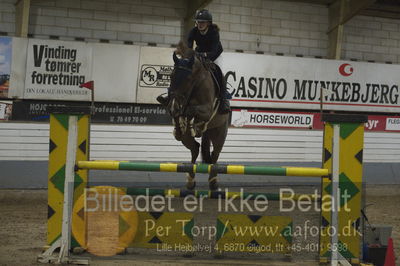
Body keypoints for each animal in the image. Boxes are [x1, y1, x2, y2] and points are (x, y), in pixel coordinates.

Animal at [167, 41, 228, 191]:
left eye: (188, 78)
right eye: (171, 76)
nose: (173, 107)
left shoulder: (206, 110)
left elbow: (190, 110)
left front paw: (193, 124)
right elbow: (181, 114)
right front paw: (179, 127)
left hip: (219, 133)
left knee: (215, 155)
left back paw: (213, 182)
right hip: (189, 139)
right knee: (195, 148)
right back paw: (190, 180)